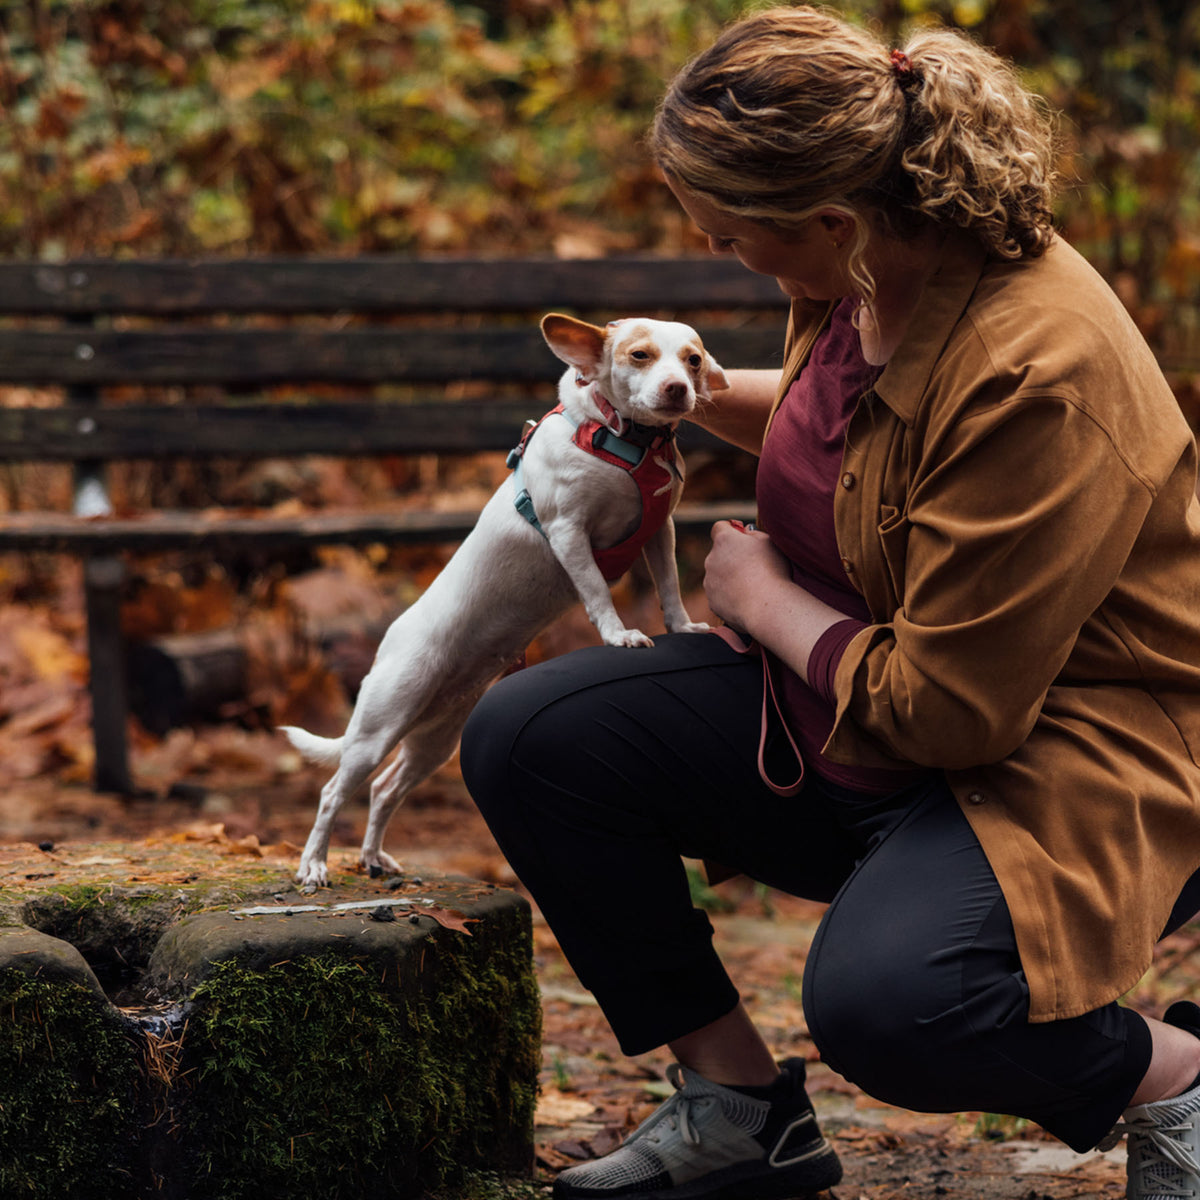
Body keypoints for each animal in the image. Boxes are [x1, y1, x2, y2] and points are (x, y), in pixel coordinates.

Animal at [280, 314, 724, 888]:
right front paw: (618, 634)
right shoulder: (568, 532)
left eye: (693, 360)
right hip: (378, 728)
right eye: (640, 355)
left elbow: (669, 587)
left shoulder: (659, 532)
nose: (678, 389)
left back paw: (374, 856)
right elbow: (597, 591)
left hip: (433, 741)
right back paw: (313, 864)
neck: (628, 441)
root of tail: (389, 642)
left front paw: (683, 626)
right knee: (335, 790)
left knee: (385, 788)